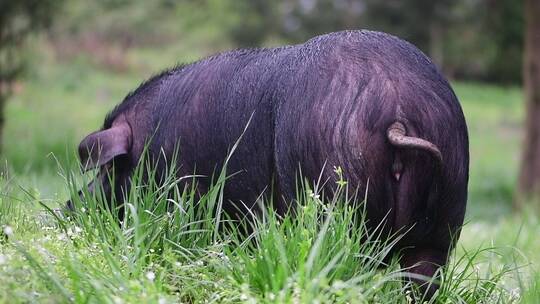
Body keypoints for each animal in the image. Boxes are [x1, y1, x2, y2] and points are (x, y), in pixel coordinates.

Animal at [71, 31, 468, 294]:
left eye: (109, 167)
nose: (67, 207)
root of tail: (397, 110)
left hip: (334, 199)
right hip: (445, 214)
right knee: (422, 275)